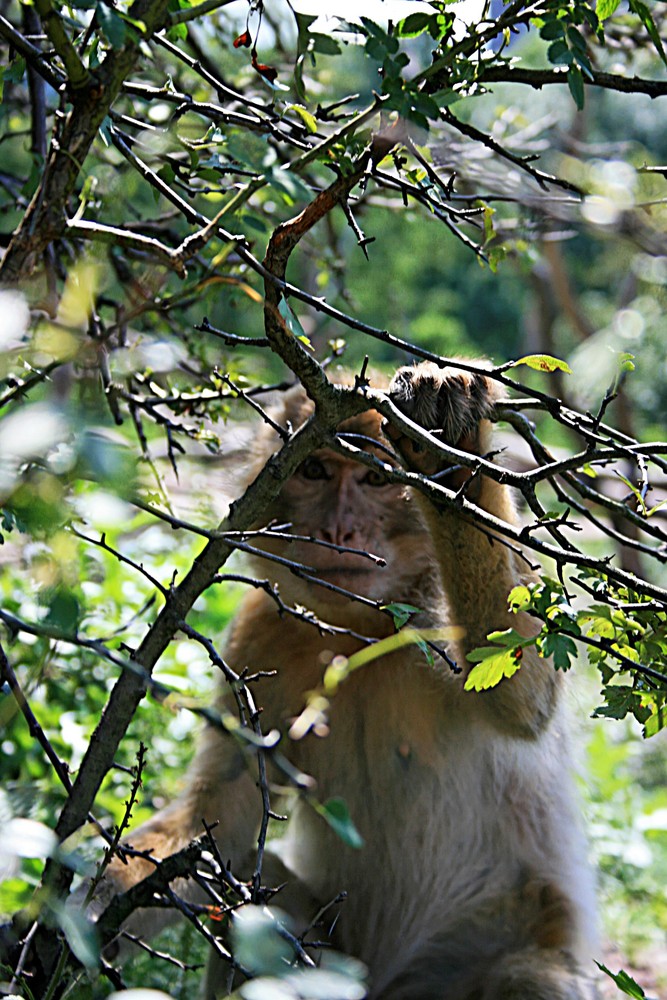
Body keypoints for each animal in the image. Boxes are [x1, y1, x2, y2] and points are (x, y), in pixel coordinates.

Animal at [98, 364, 600, 1000]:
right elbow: (224, 818)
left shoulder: (431, 612)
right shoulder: (260, 634)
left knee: (533, 976)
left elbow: (520, 691)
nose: (339, 528)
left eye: (375, 478)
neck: (359, 630)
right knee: (256, 904)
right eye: (315, 471)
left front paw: (452, 452)